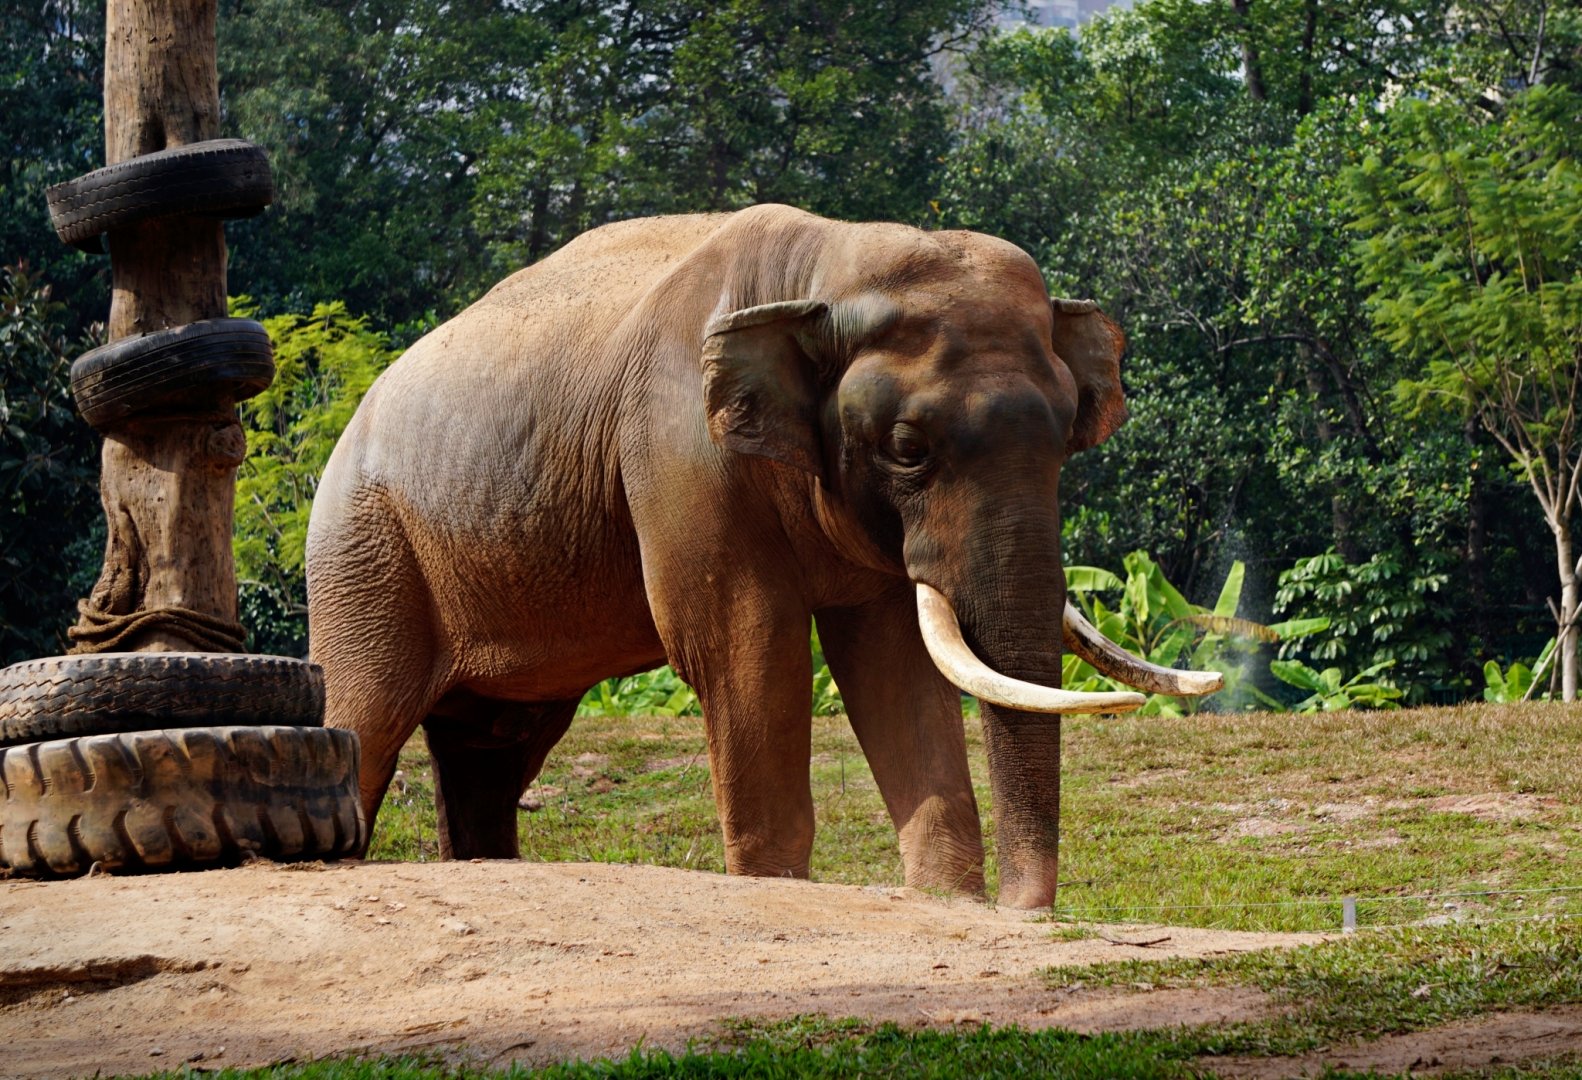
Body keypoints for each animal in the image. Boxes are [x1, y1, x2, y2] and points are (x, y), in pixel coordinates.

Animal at [306, 204, 1219, 908]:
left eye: (1067, 437)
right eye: (907, 448)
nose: (1025, 911)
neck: (827, 265)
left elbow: (894, 661)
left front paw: (944, 899)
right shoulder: (680, 453)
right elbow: (745, 649)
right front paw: (778, 882)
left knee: (497, 741)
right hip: (363, 555)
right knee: (366, 716)